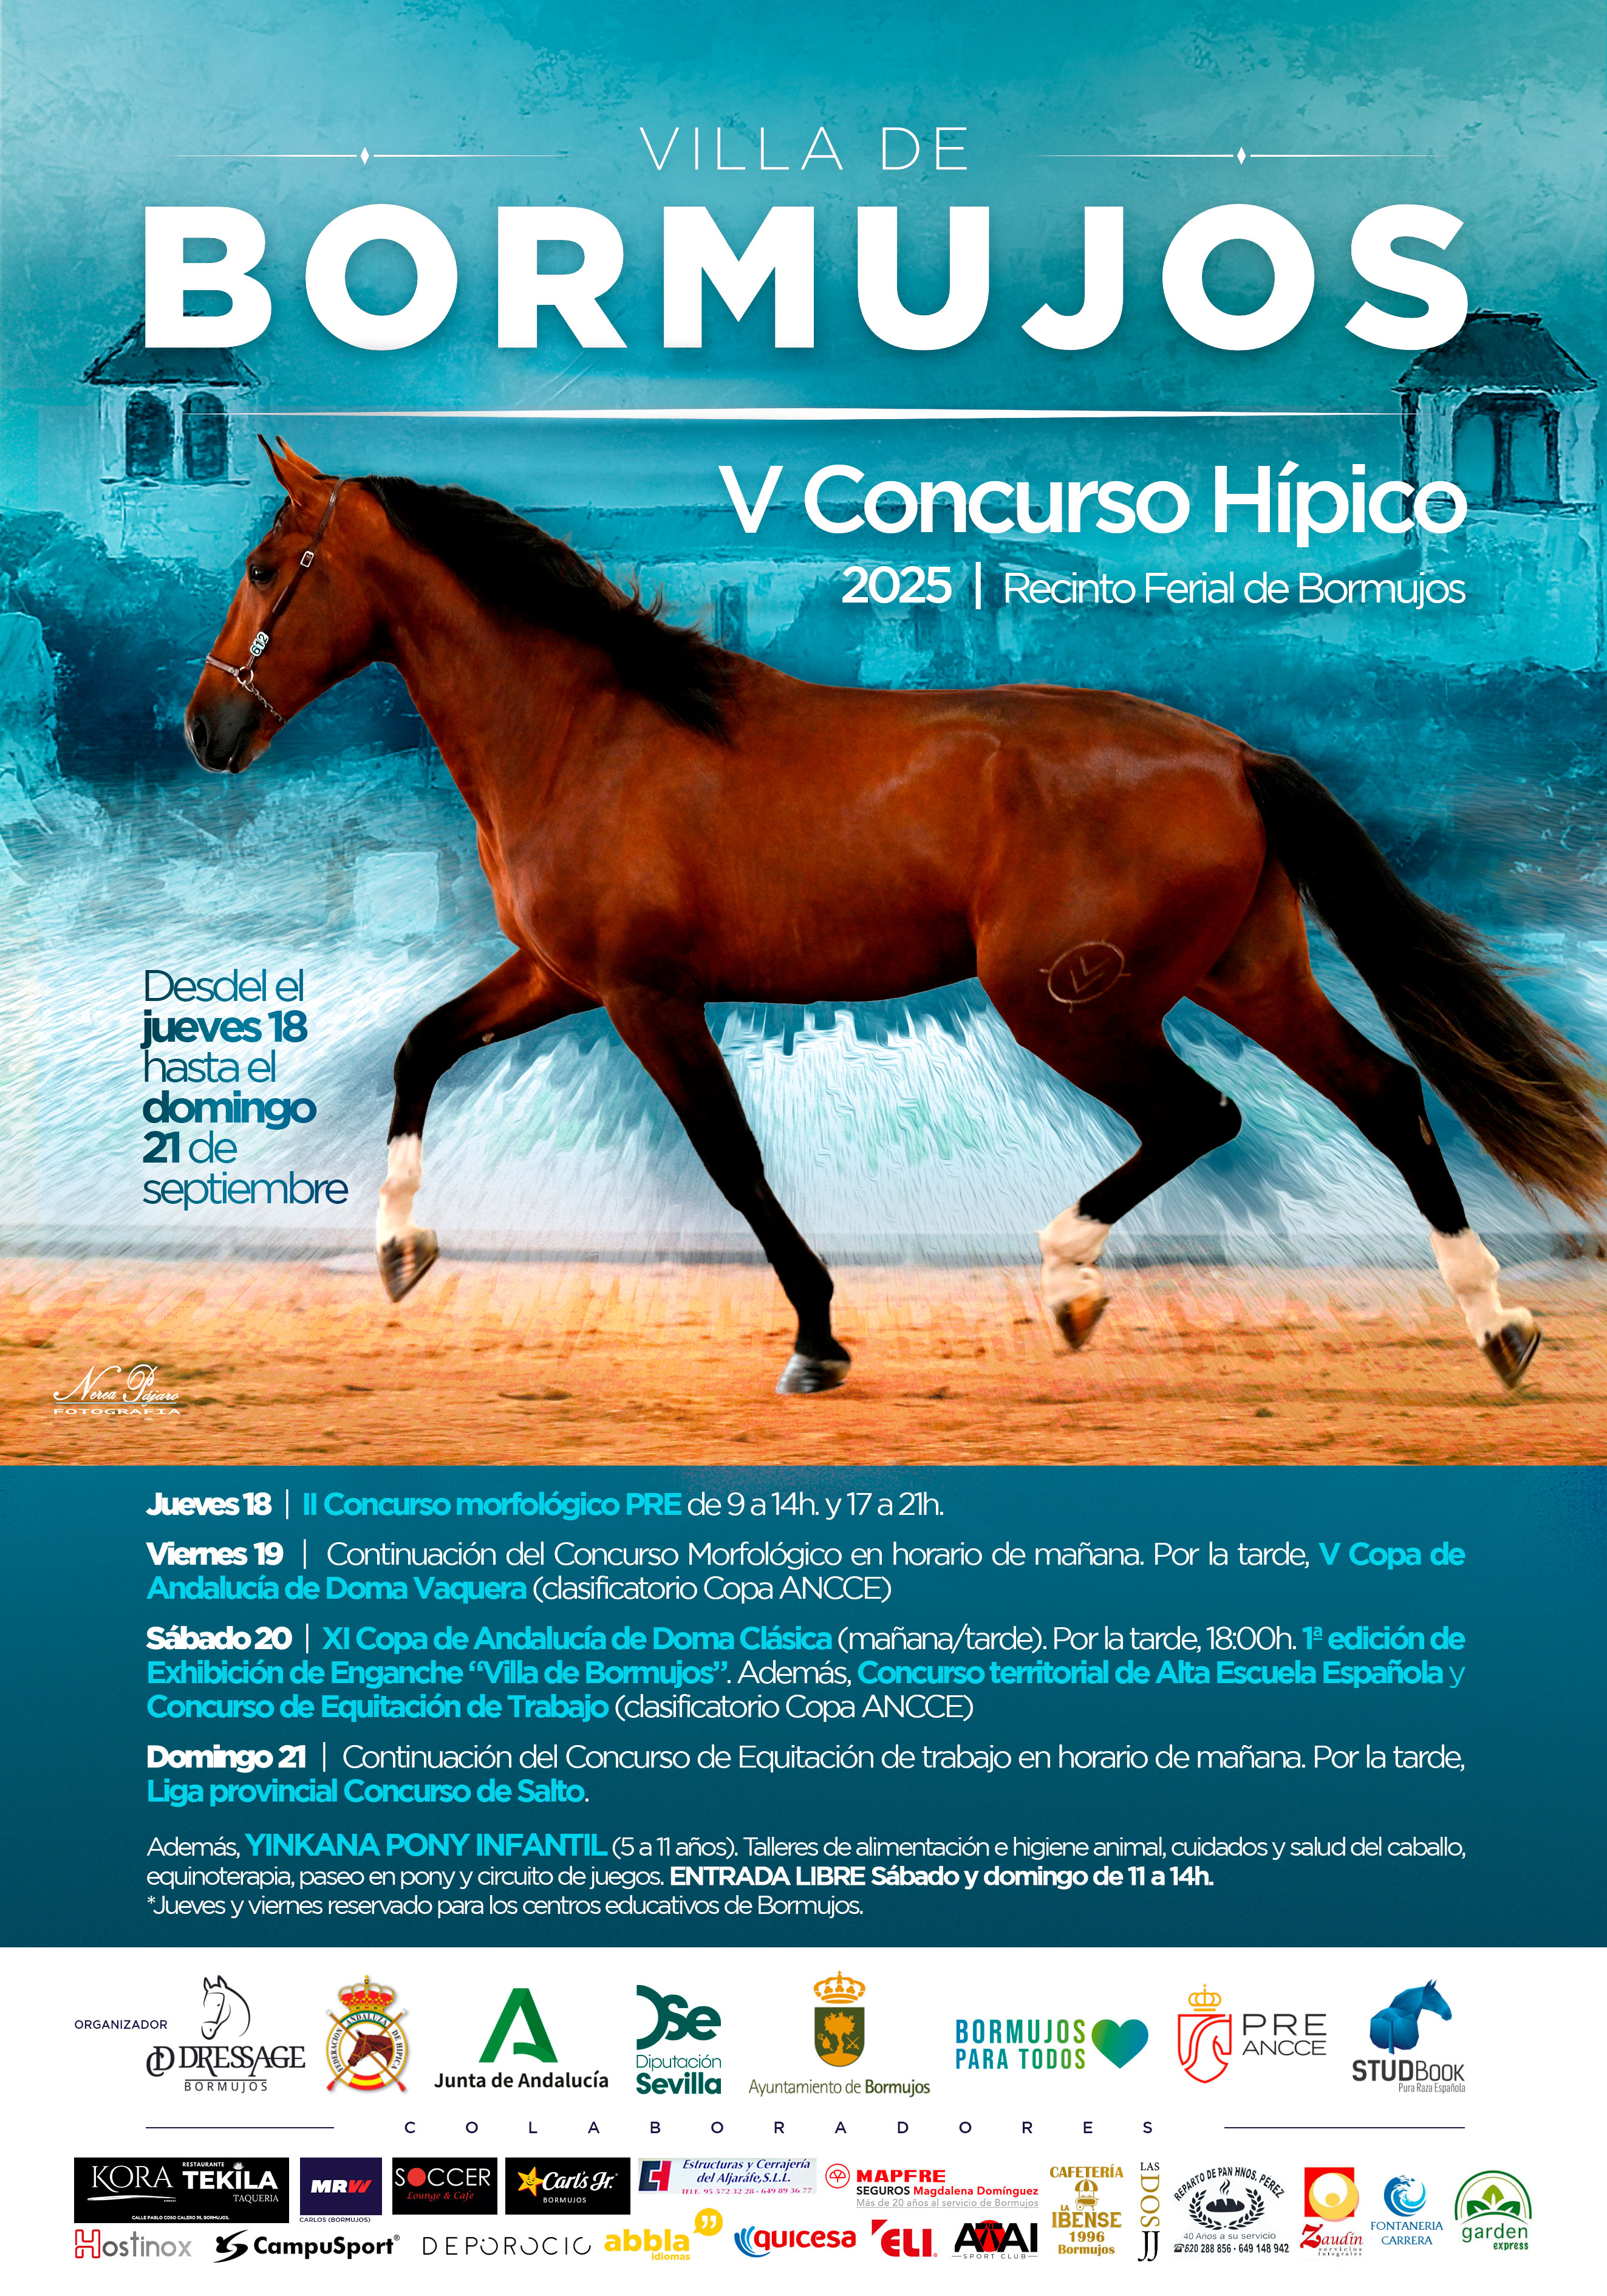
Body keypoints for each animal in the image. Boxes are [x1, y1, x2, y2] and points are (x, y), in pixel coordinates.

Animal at [185, 439, 1606, 1396]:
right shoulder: (556, 974)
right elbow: (421, 1047)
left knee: (1203, 1115)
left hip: (1069, 1003)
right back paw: (1498, 1327)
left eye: (265, 568)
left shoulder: (648, 997)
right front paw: (401, 1251)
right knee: (1384, 1095)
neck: (586, 735)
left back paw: (1068, 1282)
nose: (206, 730)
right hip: (1243, 974)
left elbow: (733, 1163)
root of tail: (1230, 756)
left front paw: (817, 1338)